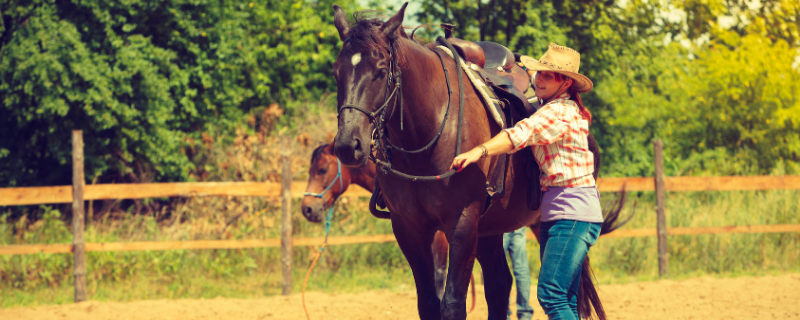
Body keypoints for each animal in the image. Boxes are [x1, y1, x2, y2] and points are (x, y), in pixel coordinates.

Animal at [330, 3, 624, 320]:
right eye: (336, 72)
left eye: (381, 71)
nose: (347, 145)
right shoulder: (409, 228)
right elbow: (429, 303)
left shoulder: (461, 224)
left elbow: (453, 304)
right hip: (490, 229)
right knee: (499, 285)